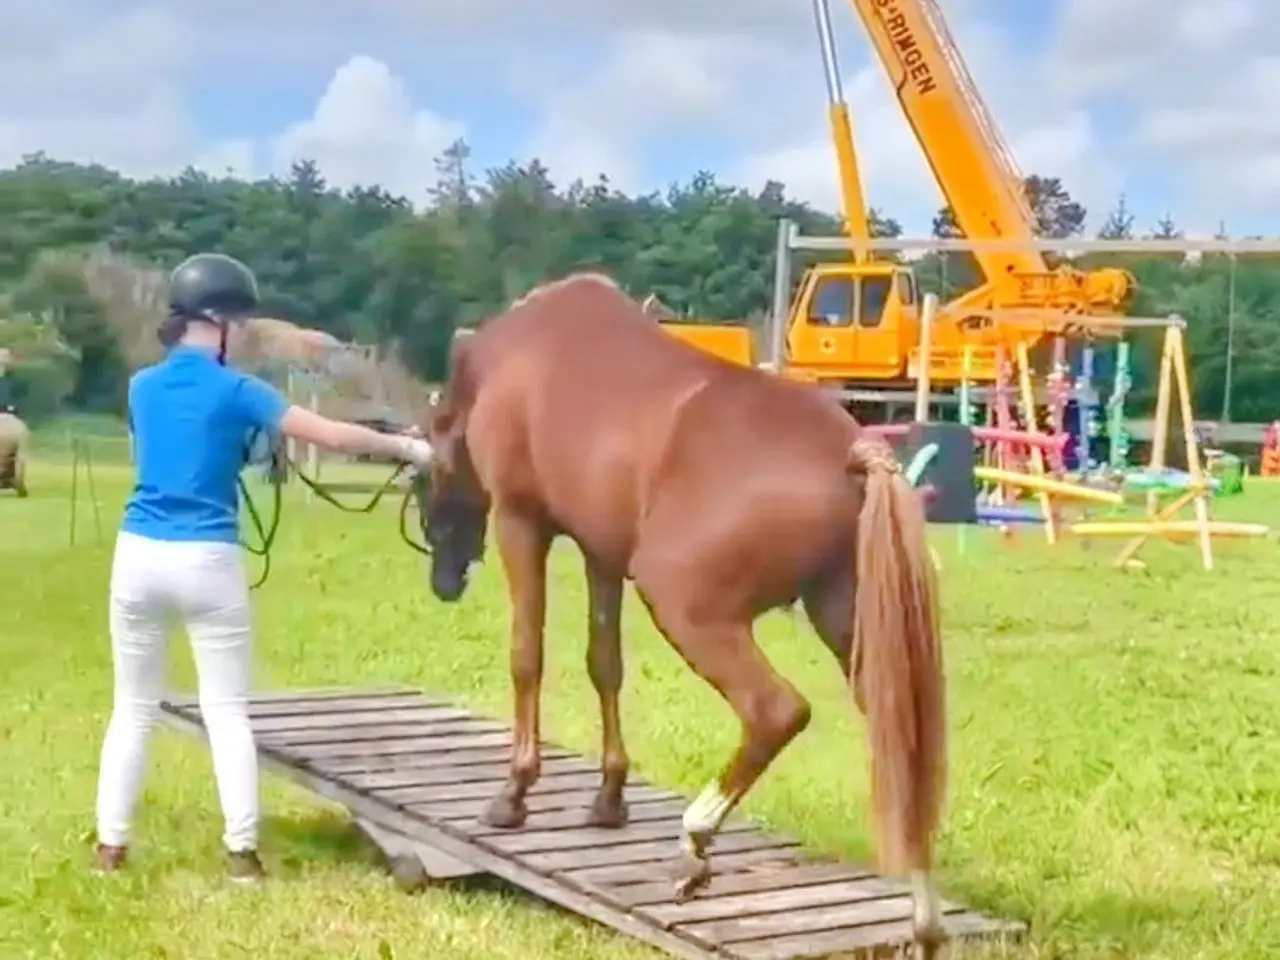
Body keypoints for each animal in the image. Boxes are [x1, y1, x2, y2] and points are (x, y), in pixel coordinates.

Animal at [413, 272, 948, 954]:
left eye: (424, 475)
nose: (444, 580)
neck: (515, 357)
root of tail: (853, 454)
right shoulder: (601, 553)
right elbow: (605, 664)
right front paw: (609, 799)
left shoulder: (521, 523)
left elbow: (526, 656)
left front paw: (513, 795)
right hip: (854, 625)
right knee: (905, 748)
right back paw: (923, 920)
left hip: (683, 604)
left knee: (776, 711)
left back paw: (695, 843)